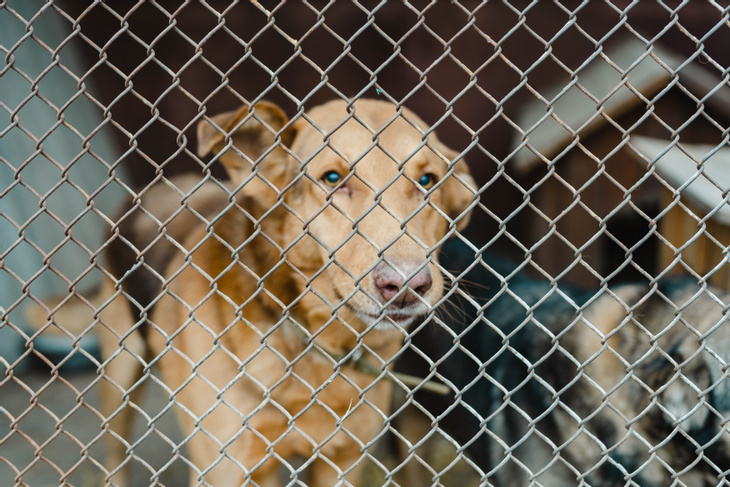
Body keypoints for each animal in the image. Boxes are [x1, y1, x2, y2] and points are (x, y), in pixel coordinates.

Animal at [102, 97, 474, 486]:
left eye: (427, 181)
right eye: (332, 179)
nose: (406, 286)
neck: (316, 342)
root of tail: (155, 186)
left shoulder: (342, 461)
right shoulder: (228, 469)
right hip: (119, 374)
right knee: (115, 453)